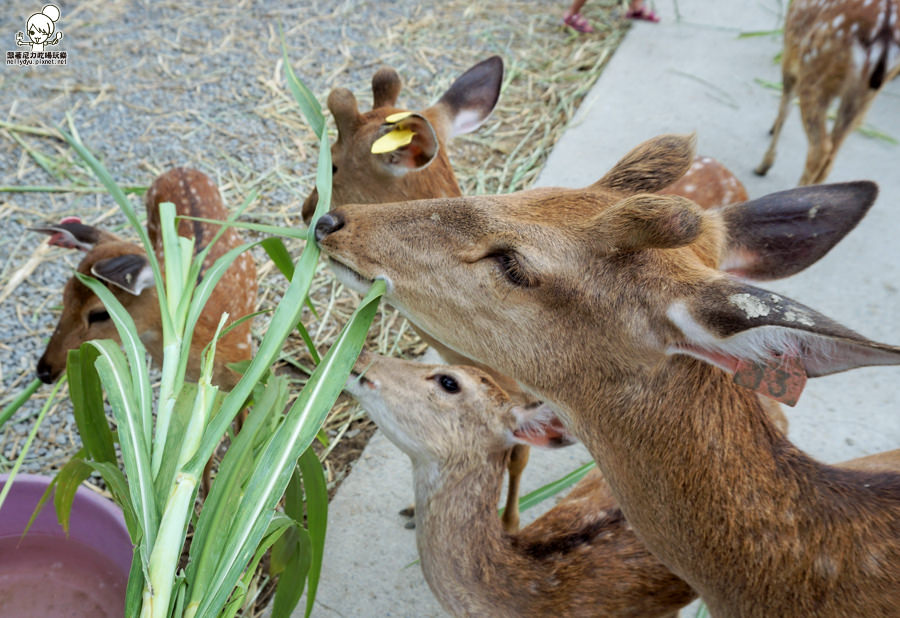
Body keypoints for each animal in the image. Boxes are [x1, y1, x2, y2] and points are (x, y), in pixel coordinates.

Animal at [752, 0, 900, 185]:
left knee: (820, 149)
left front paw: (764, 165)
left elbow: (785, 106)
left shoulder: (790, 53)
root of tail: (884, 32)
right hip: (865, 93)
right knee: (831, 154)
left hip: (813, 67)